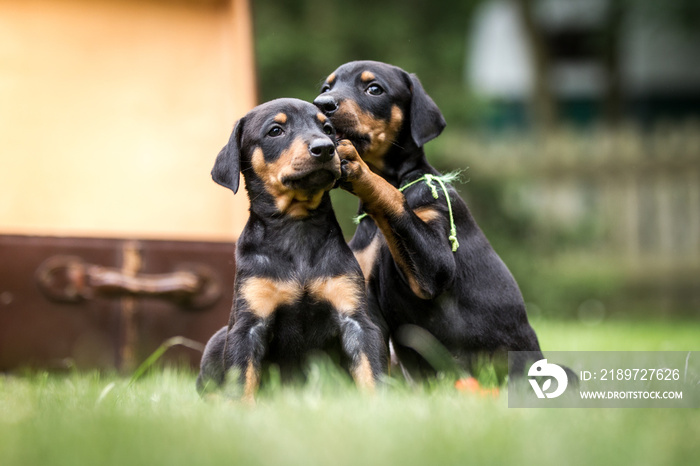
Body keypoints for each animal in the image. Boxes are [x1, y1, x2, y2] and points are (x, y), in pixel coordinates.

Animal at [196, 97, 388, 400]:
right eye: (275, 130)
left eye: (328, 129)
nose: (325, 148)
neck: (296, 225)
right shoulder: (247, 326)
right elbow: (241, 381)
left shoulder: (357, 319)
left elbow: (372, 372)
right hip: (218, 339)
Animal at [314, 61, 548, 382]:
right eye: (326, 88)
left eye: (374, 88)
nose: (322, 104)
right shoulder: (366, 305)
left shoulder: (435, 263)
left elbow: (393, 199)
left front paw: (360, 170)